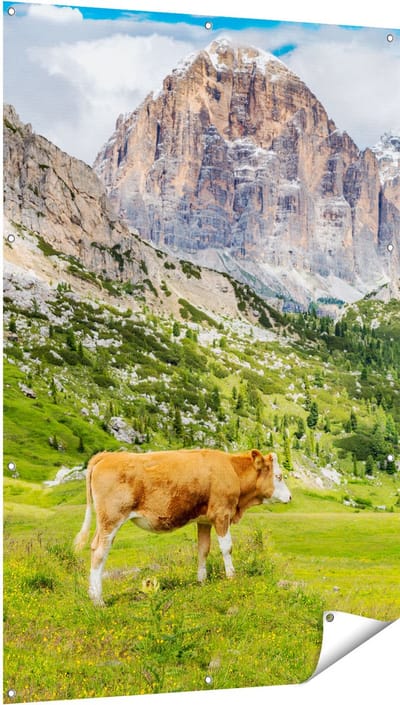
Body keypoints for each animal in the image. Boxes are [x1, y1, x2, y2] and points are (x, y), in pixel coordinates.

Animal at [74, 448, 291, 606]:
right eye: (279, 476)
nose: (290, 497)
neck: (232, 471)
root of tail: (107, 456)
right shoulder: (222, 514)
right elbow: (227, 547)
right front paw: (231, 576)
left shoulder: (204, 520)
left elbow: (203, 549)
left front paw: (201, 580)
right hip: (111, 519)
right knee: (100, 552)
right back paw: (98, 600)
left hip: (105, 522)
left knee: (95, 548)